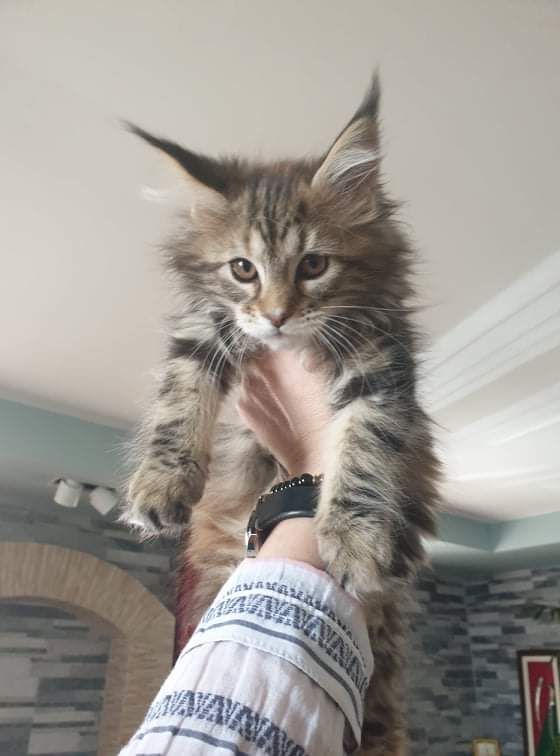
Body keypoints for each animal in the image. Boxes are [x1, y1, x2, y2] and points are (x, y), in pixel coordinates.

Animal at [124, 78, 440, 756]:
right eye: (243, 269)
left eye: (313, 266)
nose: (275, 316)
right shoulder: (203, 328)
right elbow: (180, 395)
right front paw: (161, 483)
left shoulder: (383, 363)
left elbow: (367, 445)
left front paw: (354, 537)